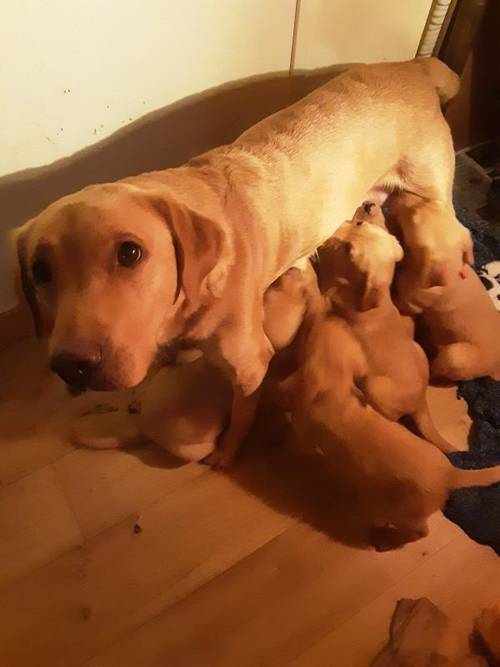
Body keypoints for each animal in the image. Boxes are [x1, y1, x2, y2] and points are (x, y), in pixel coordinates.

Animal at [286, 300, 500, 552]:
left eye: (310, 329)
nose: (327, 308)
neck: (337, 383)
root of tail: (449, 474)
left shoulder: (306, 429)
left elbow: (301, 440)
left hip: (393, 512)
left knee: (419, 532)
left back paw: (383, 541)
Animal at [318, 205, 456, 454]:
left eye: (348, 250)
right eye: (360, 224)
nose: (368, 205)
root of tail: (421, 402)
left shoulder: (330, 294)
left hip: (373, 386)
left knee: (391, 415)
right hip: (419, 351)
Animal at [386, 193, 500, 380]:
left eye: (414, 217)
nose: (398, 194)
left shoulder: (410, 303)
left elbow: (401, 300)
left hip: (454, 356)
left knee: (437, 368)